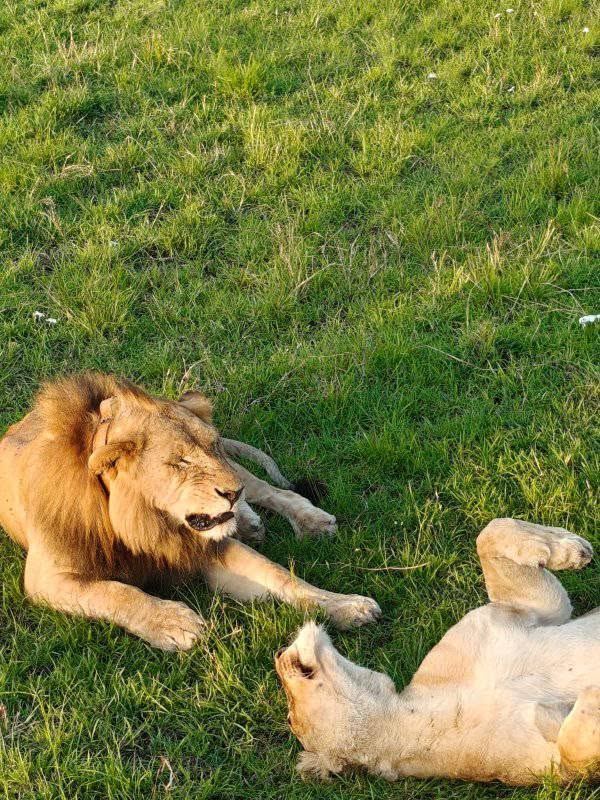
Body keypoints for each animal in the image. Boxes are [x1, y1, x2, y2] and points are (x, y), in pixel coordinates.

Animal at [0, 372, 380, 651]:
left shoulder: (202, 548)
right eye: (180, 462)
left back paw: (303, 520)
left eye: (212, 446)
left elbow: (278, 575)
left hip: (241, 475)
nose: (232, 493)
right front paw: (173, 621)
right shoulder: (47, 579)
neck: (142, 522)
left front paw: (346, 605)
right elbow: (114, 592)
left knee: (269, 488)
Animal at [277, 519, 600, 785]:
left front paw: (571, 548)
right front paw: (592, 693)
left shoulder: (534, 611)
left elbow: (490, 532)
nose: (278, 656)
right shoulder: (551, 768)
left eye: (290, 717)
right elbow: (573, 748)